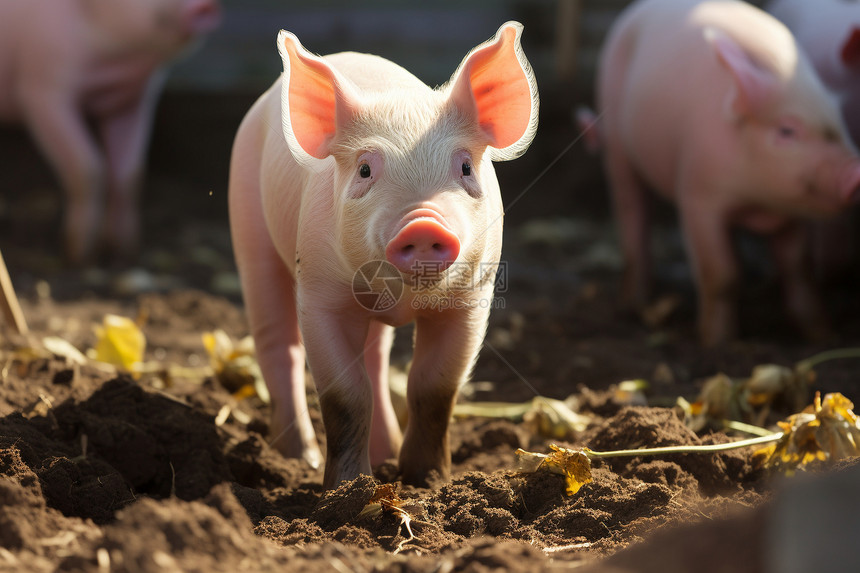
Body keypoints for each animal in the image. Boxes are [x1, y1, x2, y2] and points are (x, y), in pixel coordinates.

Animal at [0, 0, 222, 264]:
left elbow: (130, 173)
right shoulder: (41, 89)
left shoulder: (133, 100)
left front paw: (125, 252)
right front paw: (80, 256)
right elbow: (86, 165)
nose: (205, 4)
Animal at [228, 22, 536, 488]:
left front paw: (428, 481)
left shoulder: (470, 299)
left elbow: (434, 385)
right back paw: (300, 459)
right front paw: (346, 488)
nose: (423, 224)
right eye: (365, 170)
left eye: (465, 167)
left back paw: (384, 452)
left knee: (374, 356)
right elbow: (345, 394)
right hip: (248, 226)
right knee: (278, 344)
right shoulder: (320, 294)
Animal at [584, 0, 860, 344]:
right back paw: (633, 301)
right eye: (786, 131)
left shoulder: (789, 209)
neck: (756, 201)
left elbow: (798, 267)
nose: (855, 172)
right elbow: (721, 272)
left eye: (841, 119)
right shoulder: (698, 193)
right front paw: (717, 342)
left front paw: (820, 335)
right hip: (615, 140)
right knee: (631, 209)